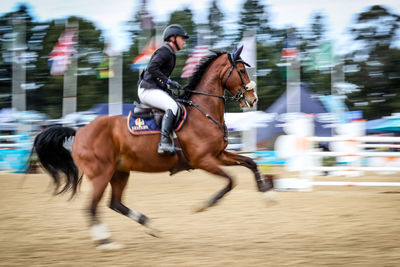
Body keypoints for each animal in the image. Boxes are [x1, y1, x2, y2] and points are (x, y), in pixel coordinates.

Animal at [33, 45, 272, 249]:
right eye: (241, 70)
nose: (253, 99)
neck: (203, 111)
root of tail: (79, 131)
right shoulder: (203, 160)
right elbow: (231, 181)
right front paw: (204, 205)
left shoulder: (219, 155)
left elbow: (250, 162)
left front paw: (266, 192)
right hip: (101, 173)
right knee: (92, 207)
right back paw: (105, 242)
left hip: (119, 172)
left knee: (115, 203)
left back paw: (149, 225)